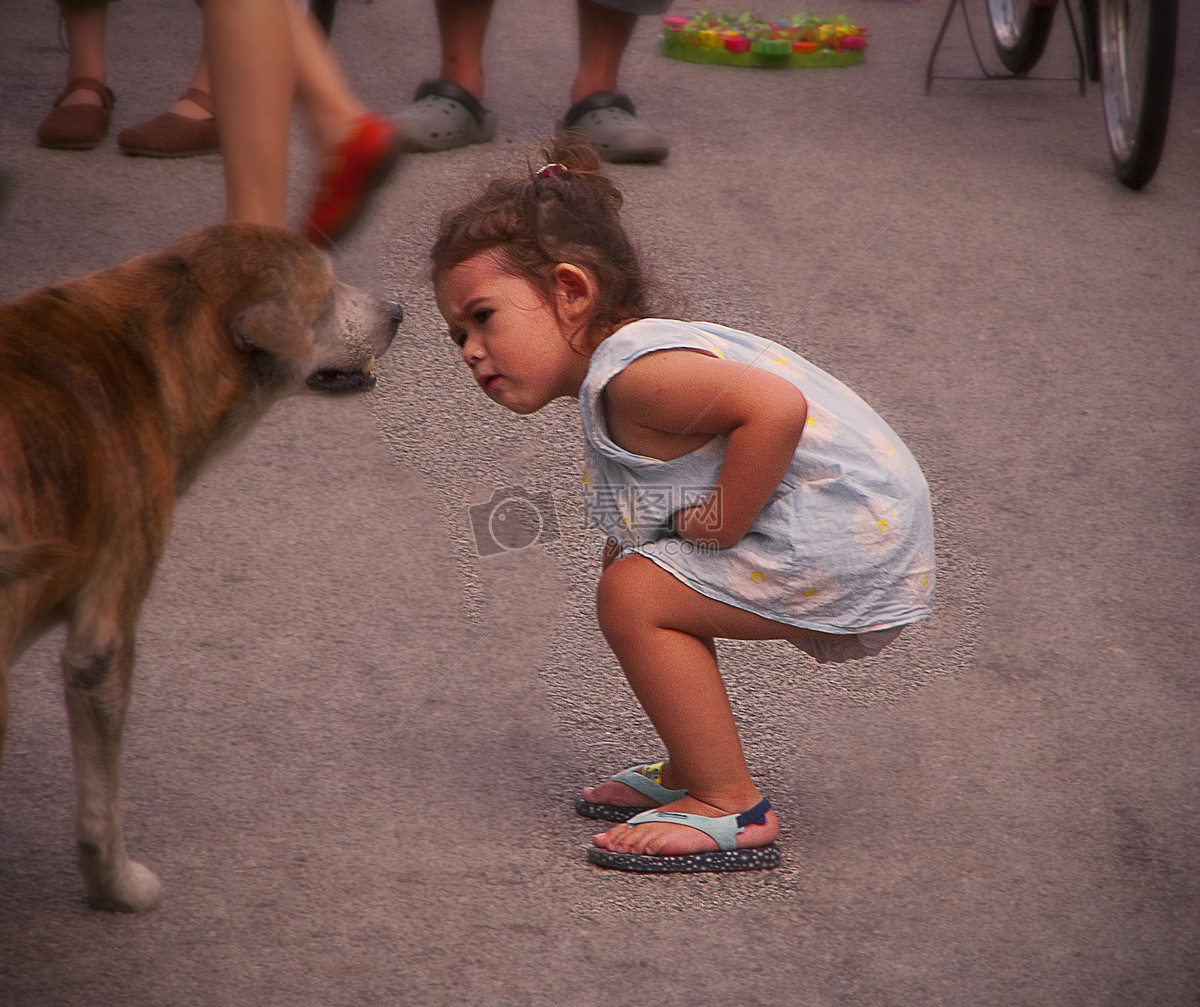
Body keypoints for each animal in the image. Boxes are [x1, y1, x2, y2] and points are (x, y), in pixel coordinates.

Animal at [0, 222, 403, 912]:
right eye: (325, 293)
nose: (399, 311)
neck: (152, 347)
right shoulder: (103, 636)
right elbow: (102, 803)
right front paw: (117, 885)